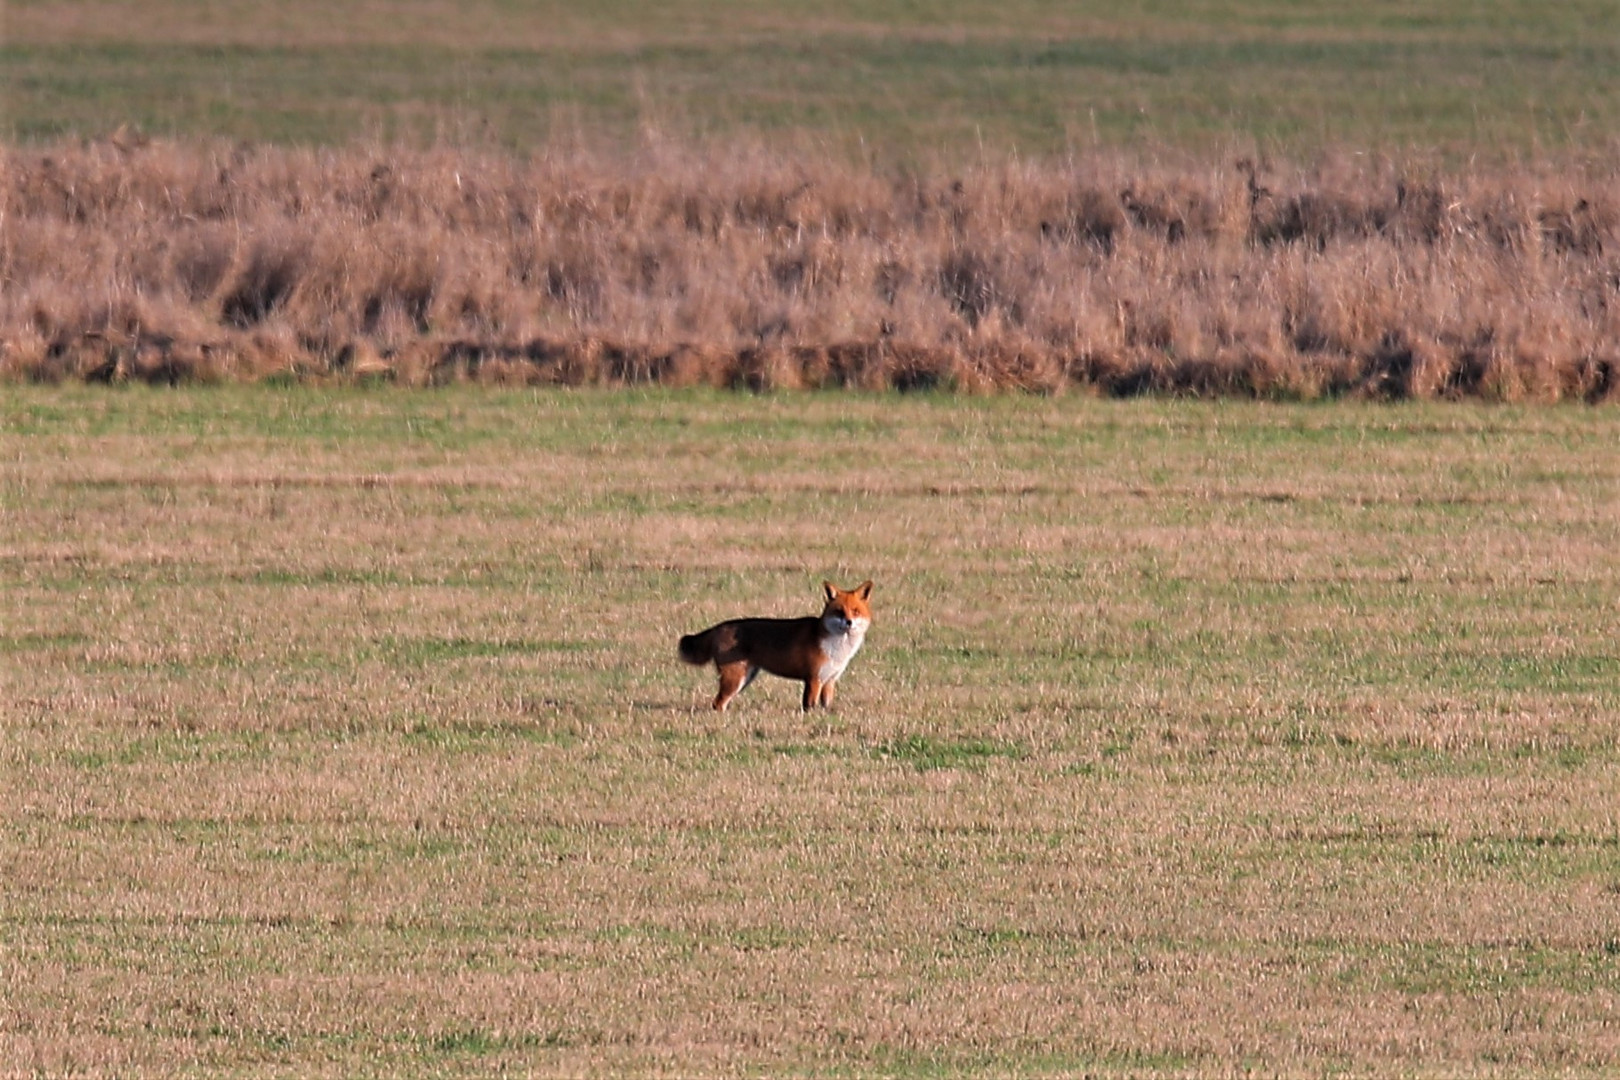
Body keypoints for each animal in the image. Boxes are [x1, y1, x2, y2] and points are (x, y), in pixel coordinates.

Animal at [677, 579, 874, 712]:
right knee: (717, 703)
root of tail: (719, 626)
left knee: (719, 703)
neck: (836, 648)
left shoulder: (829, 680)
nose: (849, 622)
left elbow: (826, 706)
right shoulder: (813, 679)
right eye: (839, 612)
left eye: (855, 611)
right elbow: (808, 707)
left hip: (745, 678)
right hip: (735, 679)